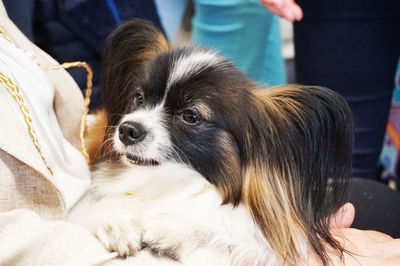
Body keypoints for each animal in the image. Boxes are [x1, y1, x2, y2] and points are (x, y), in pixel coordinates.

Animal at [69, 19, 354, 266]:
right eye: (139, 98)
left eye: (190, 116)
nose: (127, 130)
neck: (171, 183)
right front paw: (115, 223)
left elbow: (221, 228)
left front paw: (173, 228)